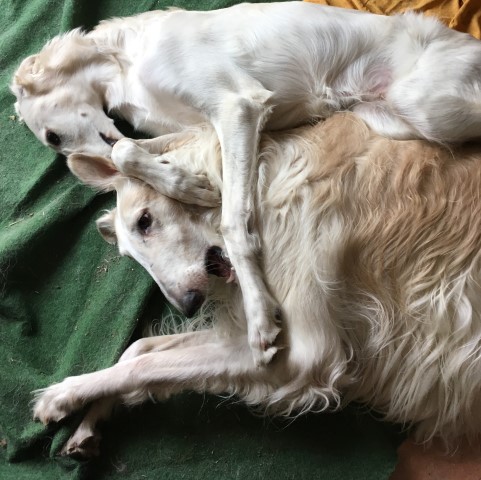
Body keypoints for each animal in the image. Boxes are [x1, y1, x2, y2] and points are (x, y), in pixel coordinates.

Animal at [11, 2, 481, 365]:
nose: (187, 307)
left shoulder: (236, 107)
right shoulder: (199, 127)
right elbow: (126, 150)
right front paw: (188, 184)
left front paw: (259, 316)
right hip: (386, 118)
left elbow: (233, 224)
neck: (125, 57)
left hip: (423, 104)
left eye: (53, 137)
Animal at [32, 113, 481, 457]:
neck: (263, 191)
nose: (188, 305)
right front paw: (90, 423)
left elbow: (142, 365)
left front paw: (62, 396)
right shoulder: (253, 332)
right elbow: (138, 351)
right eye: (128, 255)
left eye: (145, 220)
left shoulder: (300, 355)